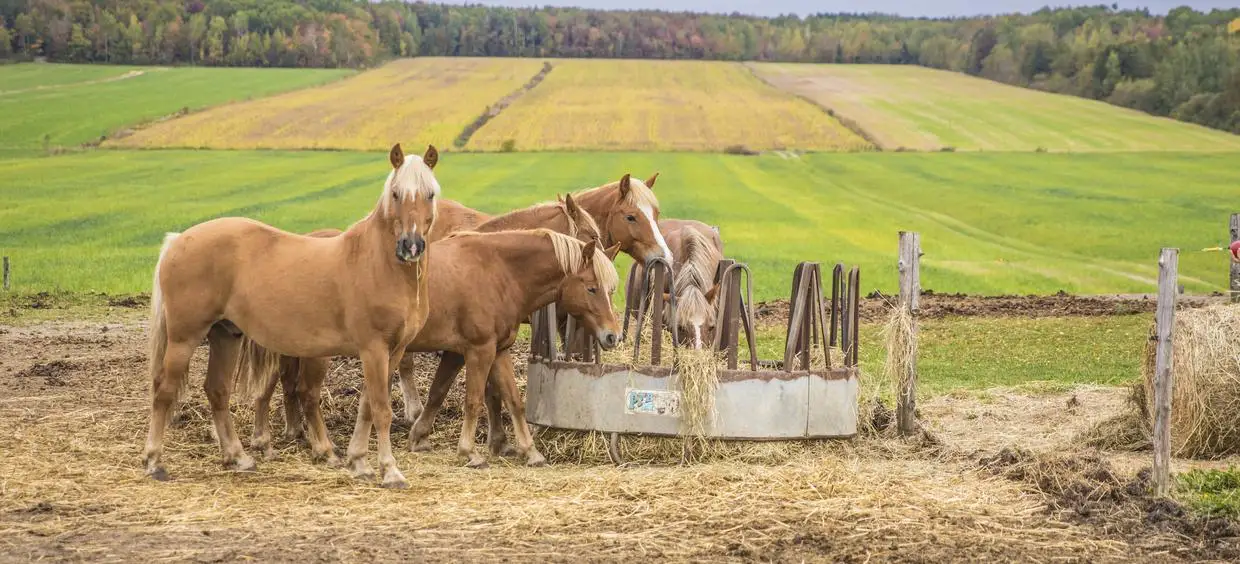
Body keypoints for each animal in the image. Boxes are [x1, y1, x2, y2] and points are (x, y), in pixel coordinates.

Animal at [144, 144, 440, 489]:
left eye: (430, 194)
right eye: (395, 193)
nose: (411, 246)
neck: (376, 263)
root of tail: (178, 240)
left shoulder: (393, 351)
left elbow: (367, 406)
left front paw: (358, 461)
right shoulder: (373, 350)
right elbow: (381, 409)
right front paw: (390, 471)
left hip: (225, 334)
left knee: (217, 390)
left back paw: (239, 457)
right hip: (184, 337)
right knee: (164, 391)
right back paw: (154, 462)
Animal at [249, 195, 616, 463]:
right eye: (592, 287)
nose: (612, 335)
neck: (496, 267)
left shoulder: (494, 350)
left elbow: (505, 398)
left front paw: (529, 451)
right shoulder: (477, 349)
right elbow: (474, 398)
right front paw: (471, 451)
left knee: (272, 389)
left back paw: (272, 440)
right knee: (306, 394)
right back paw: (321, 448)